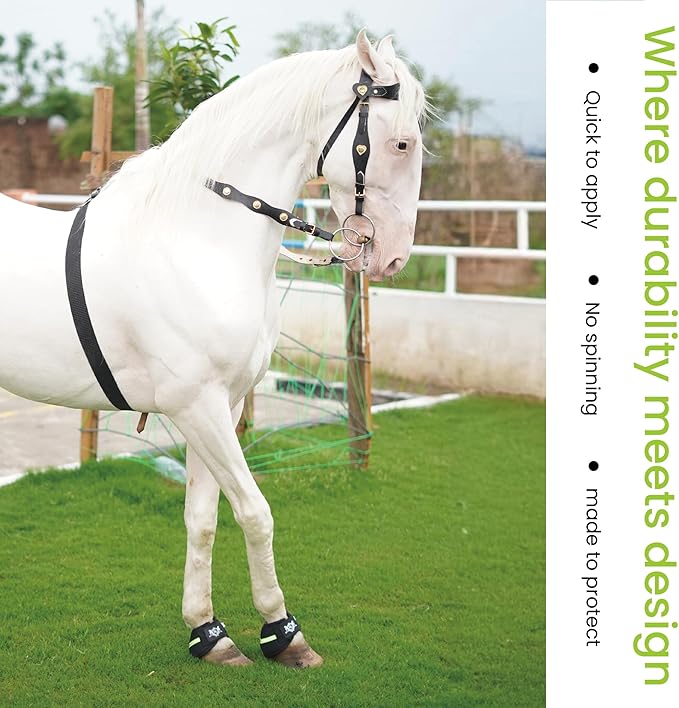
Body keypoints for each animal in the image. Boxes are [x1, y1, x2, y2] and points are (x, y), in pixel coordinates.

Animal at [0, 31, 425, 668]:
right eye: (401, 142)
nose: (395, 256)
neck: (196, 239)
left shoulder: (217, 407)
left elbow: (202, 519)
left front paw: (209, 633)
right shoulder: (197, 407)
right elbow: (254, 511)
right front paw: (283, 632)